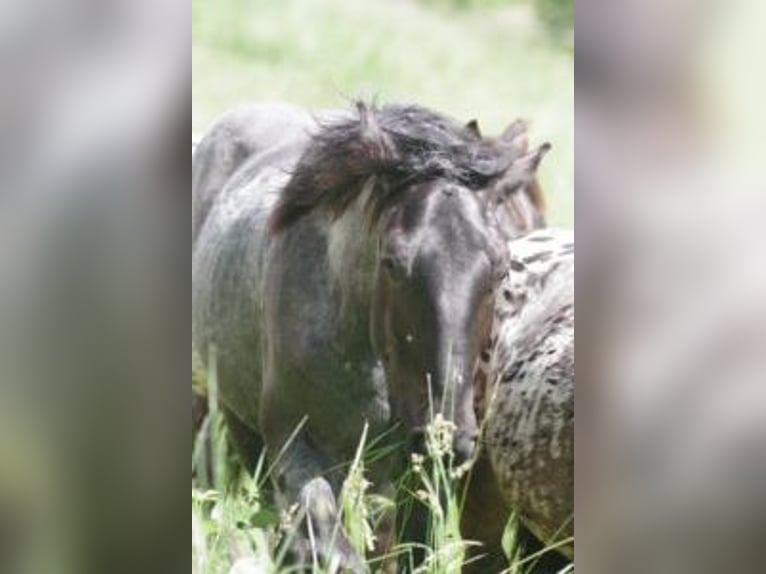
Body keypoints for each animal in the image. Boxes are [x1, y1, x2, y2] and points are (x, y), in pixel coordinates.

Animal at [192, 102, 552, 572]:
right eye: (393, 261)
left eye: (501, 266)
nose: (445, 436)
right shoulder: (295, 442)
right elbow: (332, 547)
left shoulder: (416, 478)